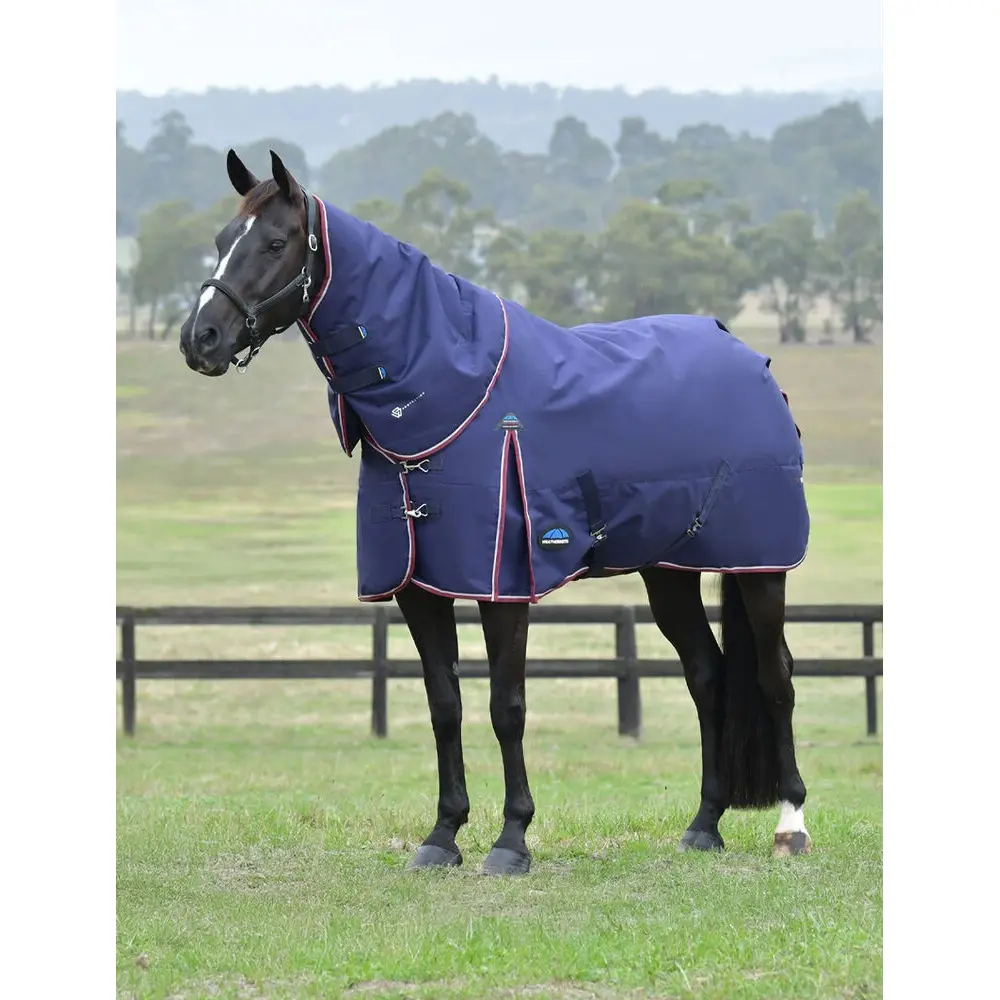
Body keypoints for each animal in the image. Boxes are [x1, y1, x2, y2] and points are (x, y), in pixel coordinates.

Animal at [178, 149, 813, 876]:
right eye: (223, 241)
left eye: (276, 243)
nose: (200, 338)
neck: (449, 396)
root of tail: (752, 361)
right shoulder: (419, 586)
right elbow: (444, 704)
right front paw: (442, 835)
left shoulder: (500, 585)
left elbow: (506, 705)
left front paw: (512, 840)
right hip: (669, 571)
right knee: (706, 676)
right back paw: (703, 825)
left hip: (760, 566)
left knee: (774, 675)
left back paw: (791, 825)